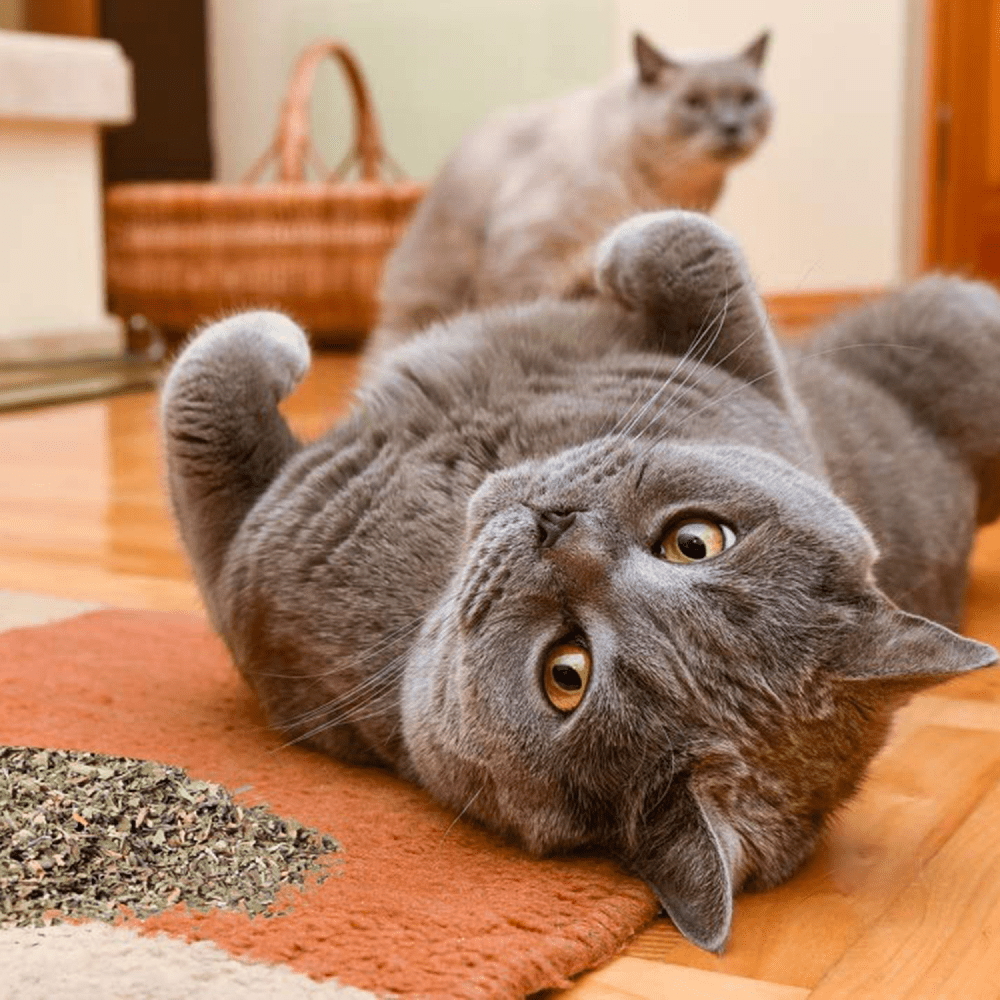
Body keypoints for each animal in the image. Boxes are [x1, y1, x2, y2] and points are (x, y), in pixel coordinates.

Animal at [164, 213, 1000, 952]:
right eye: (696, 542)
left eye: (567, 673)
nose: (557, 529)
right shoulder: (765, 391)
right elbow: (709, 260)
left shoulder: (246, 571)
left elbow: (202, 398)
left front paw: (273, 340)